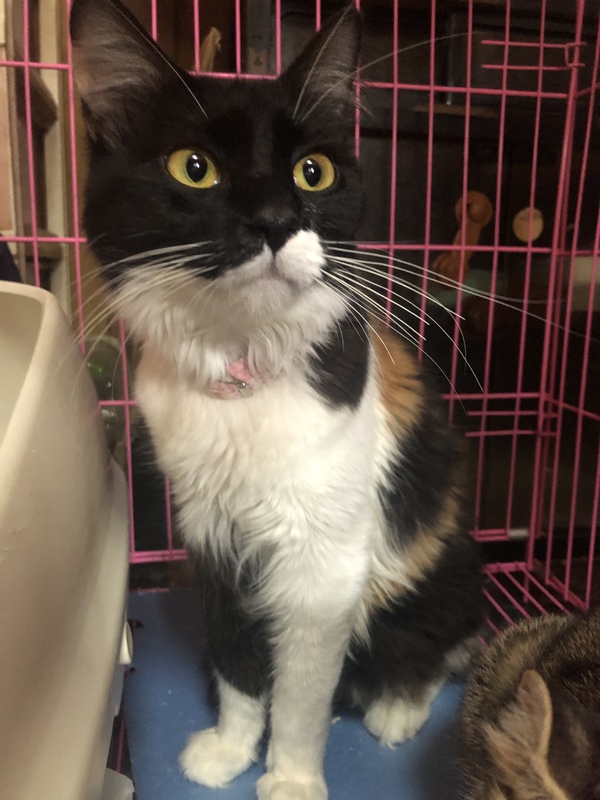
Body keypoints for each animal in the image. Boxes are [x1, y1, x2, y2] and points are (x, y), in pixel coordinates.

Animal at [70, 1, 484, 798]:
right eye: (193, 168)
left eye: (311, 172)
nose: (272, 220)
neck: (243, 371)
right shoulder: (215, 536)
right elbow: (239, 663)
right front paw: (230, 751)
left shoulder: (322, 568)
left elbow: (298, 693)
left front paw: (290, 778)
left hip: (436, 571)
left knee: (433, 648)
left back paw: (395, 708)